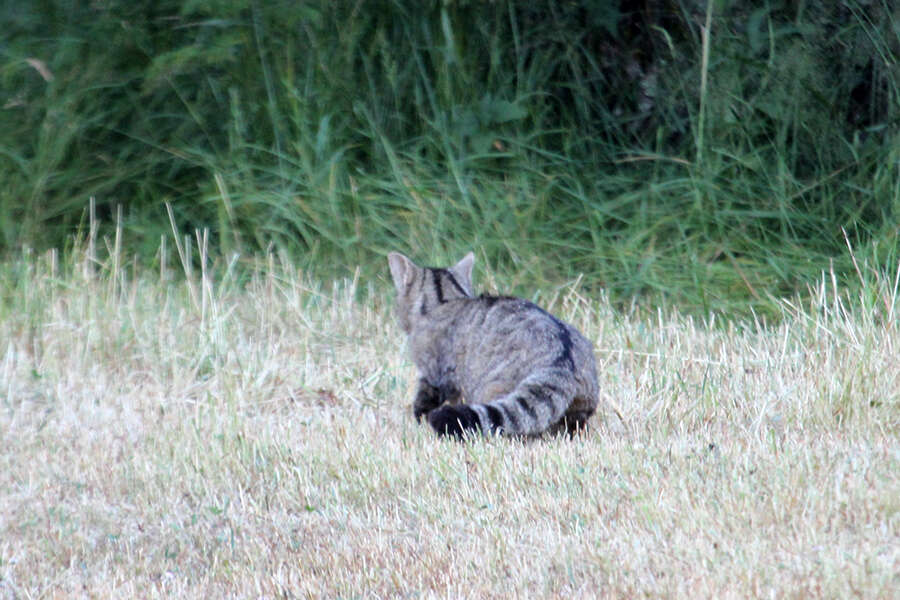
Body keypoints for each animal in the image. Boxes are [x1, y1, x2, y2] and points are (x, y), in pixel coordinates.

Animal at [386, 251, 596, 438]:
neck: (445, 300)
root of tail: (562, 358)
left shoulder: (434, 374)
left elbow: (423, 400)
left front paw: (420, 420)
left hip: (494, 388)